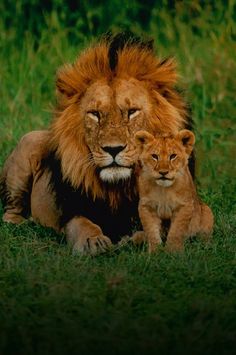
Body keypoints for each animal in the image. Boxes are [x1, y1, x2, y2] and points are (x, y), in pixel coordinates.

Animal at [0, 33, 193, 254]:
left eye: (132, 112)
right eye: (95, 114)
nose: (113, 149)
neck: (118, 188)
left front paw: (137, 239)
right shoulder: (73, 210)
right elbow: (83, 224)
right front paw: (93, 241)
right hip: (26, 148)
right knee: (10, 212)